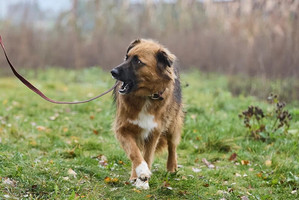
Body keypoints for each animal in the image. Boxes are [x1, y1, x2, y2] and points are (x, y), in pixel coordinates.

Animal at [110, 38, 184, 189]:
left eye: (138, 61)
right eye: (126, 57)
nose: (113, 71)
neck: (146, 96)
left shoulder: (153, 131)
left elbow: (147, 156)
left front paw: (143, 181)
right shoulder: (122, 129)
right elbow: (134, 153)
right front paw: (141, 173)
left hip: (172, 123)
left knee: (172, 145)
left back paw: (172, 167)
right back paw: (135, 175)